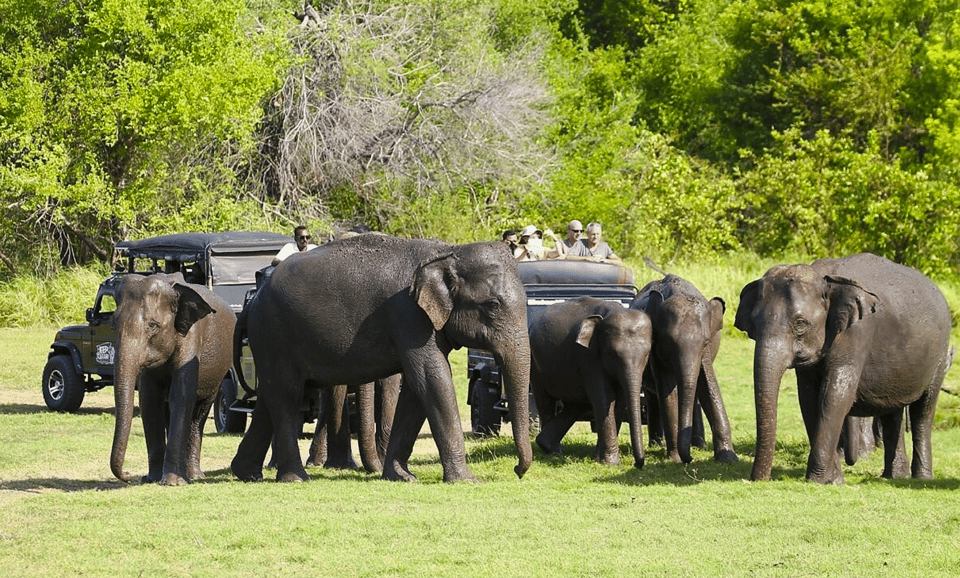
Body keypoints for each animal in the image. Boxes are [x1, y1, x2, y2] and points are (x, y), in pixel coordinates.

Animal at [109, 270, 234, 482]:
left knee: (198, 415)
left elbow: (182, 396)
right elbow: (149, 401)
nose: (129, 475)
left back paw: (193, 476)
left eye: (153, 325)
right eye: (113, 323)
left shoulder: (191, 337)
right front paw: (152, 479)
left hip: (218, 376)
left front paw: (171, 483)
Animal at [232, 234, 532, 482]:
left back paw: (246, 474)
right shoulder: (408, 315)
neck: (448, 251)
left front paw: (401, 477)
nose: (517, 471)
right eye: (492, 305)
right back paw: (295, 479)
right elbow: (432, 379)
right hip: (274, 334)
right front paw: (466, 481)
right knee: (286, 396)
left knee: (270, 398)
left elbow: (416, 390)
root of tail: (252, 301)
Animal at [524, 294, 652, 466]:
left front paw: (599, 459)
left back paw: (547, 444)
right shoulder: (587, 354)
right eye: (612, 353)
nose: (638, 464)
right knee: (545, 402)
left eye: (647, 354)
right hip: (535, 363)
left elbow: (619, 401)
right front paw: (611, 463)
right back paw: (552, 451)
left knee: (576, 405)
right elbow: (604, 397)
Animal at [632, 274, 740, 464]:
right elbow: (668, 391)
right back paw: (656, 444)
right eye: (668, 342)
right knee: (653, 396)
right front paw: (675, 459)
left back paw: (698, 445)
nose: (689, 458)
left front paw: (729, 459)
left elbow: (709, 386)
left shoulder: (705, 354)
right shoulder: (656, 350)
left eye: (706, 342)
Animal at [736, 252, 952, 482]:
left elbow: (834, 395)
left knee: (923, 412)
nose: (758, 479)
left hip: (940, 355)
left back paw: (920, 478)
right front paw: (835, 480)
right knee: (892, 411)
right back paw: (894, 476)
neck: (824, 277)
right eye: (755, 323)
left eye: (800, 323)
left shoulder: (857, 333)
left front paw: (818, 480)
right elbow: (808, 398)